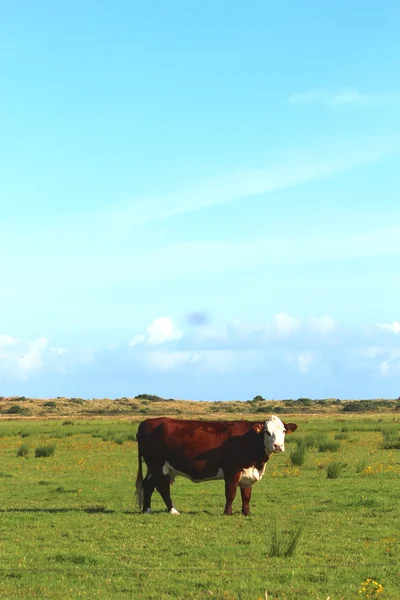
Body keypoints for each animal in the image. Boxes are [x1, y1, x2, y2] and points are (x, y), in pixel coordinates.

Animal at [136, 414, 298, 516]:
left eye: (284, 431)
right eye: (267, 432)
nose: (278, 446)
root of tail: (146, 422)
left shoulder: (248, 473)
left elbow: (246, 495)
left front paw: (246, 513)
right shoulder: (232, 471)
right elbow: (230, 493)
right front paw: (227, 513)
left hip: (153, 467)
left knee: (148, 484)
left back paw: (147, 510)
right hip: (158, 465)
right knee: (162, 487)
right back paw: (173, 510)